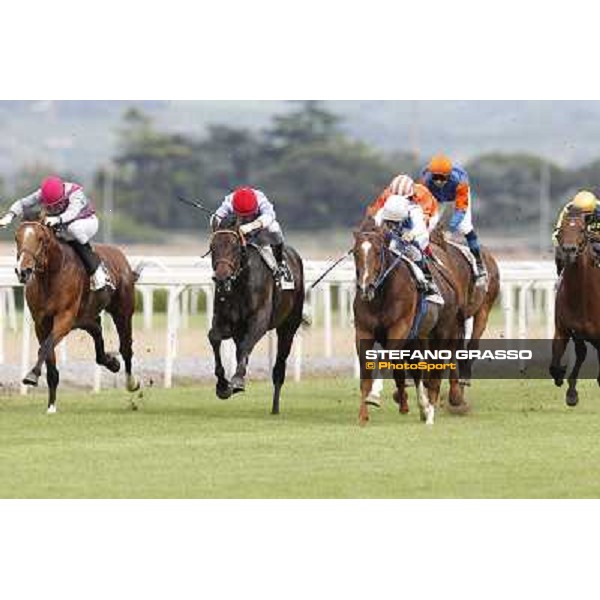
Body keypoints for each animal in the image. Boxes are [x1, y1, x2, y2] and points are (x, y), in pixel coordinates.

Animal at [15, 220, 141, 412]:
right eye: (17, 238)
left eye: (40, 239)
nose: (23, 271)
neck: (52, 275)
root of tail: (121, 256)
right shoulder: (41, 323)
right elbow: (49, 357)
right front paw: (51, 406)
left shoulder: (64, 318)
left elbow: (45, 347)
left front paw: (32, 375)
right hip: (86, 317)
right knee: (97, 330)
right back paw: (111, 362)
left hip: (122, 312)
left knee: (126, 347)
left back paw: (131, 382)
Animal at [354, 219, 462, 426]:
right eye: (356, 253)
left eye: (378, 252)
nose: (365, 288)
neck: (381, 296)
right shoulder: (364, 332)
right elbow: (366, 373)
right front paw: (363, 415)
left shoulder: (399, 328)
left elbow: (387, 360)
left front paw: (375, 396)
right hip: (416, 338)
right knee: (417, 371)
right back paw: (423, 407)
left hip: (441, 333)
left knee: (434, 375)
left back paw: (430, 413)